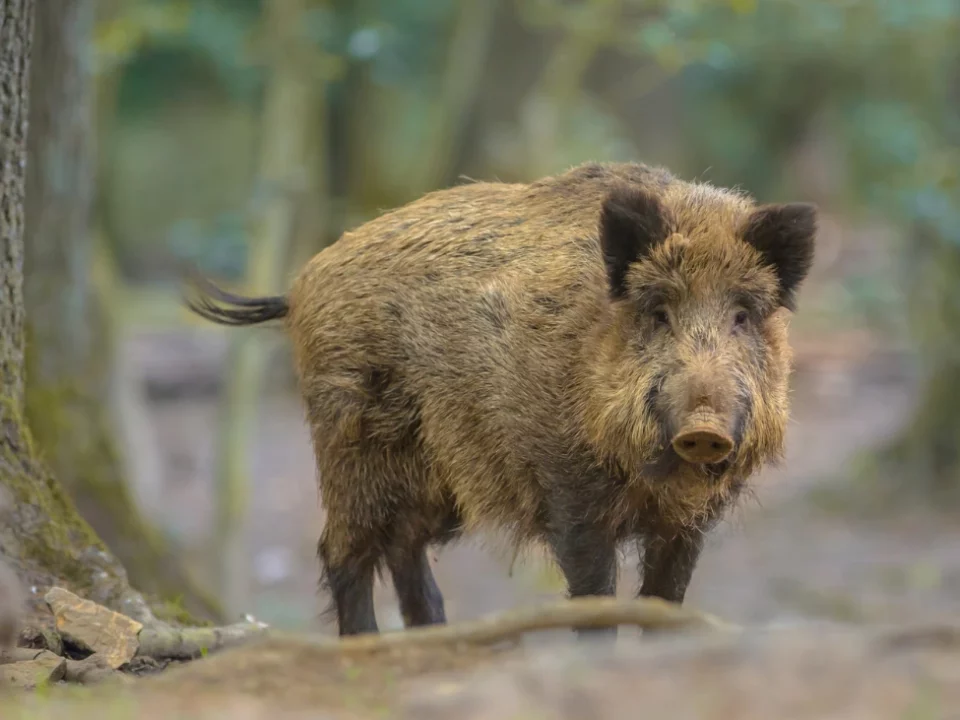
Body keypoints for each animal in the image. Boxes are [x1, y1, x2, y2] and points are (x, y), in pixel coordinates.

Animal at [185, 161, 816, 637]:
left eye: (742, 315)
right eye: (658, 312)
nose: (703, 427)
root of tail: (300, 285)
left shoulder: (689, 522)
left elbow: (664, 602)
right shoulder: (570, 491)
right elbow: (594, 600)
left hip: (439, 481)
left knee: (403, 549)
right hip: (350, 446)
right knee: (341, 551)